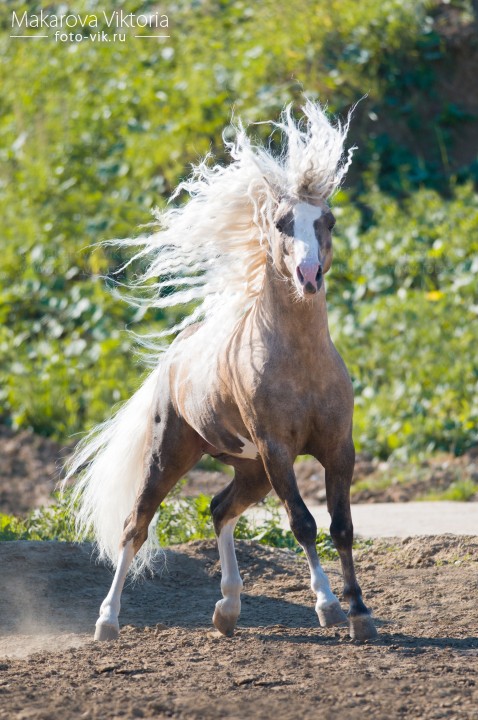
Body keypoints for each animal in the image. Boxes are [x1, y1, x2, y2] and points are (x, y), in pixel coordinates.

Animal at [66, 98, 378, 644]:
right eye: (281, 222)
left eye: (330, 221)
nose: (309, 275)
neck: (301, 365)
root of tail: (174, 357)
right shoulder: (279, 453)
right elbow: (303, 524)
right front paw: (328, 607)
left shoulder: (339, 448)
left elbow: (341, 527)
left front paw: (361, 613)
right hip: (172, 454)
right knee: (135, 525)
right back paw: (107, 621)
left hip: (250, 470)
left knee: (219, 509)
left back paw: (227, 610)